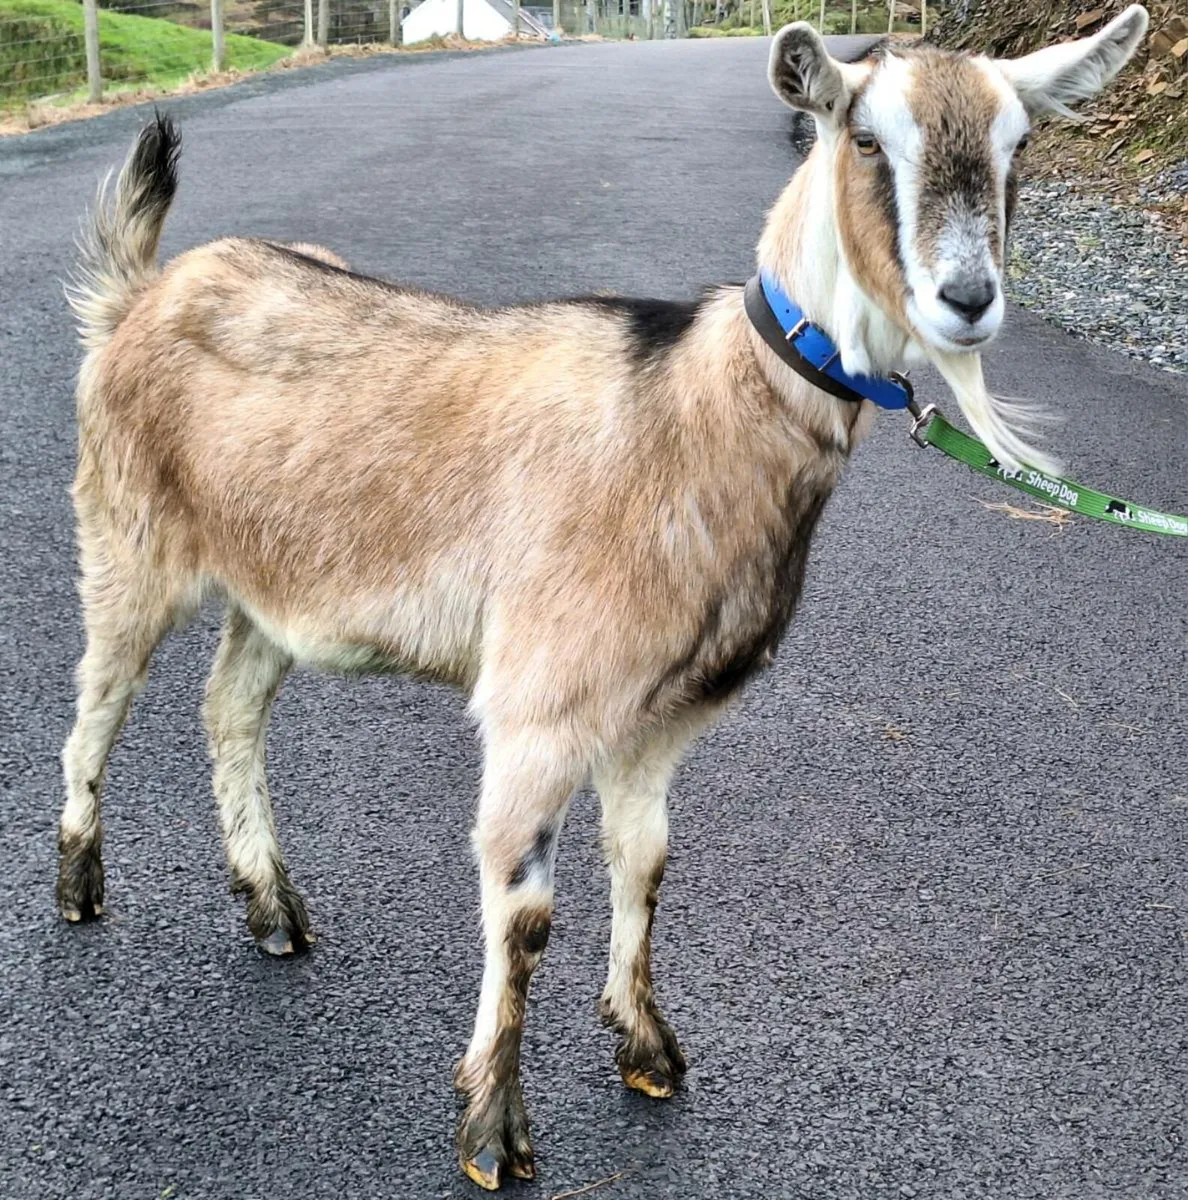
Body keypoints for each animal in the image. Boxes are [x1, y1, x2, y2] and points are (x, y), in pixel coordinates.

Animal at [59, 10, 1148, 1189]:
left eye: (1018, 147)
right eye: (865, 140)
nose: (969, 301)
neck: (690, 415)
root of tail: (139, 294)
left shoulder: (660, 715)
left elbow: (647, 861)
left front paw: (647, 1048)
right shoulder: (540, 703)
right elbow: (525, 911)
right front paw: (493, 1132)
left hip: (276, 582)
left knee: (230, 706)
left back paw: (270, 905)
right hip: (125, 535)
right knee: (98, 702)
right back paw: (78, 885)